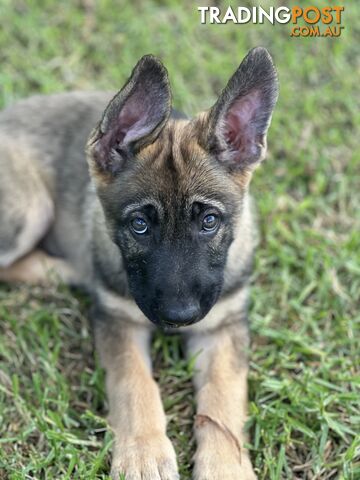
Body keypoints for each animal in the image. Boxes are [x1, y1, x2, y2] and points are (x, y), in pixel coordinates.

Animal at [0, 47, 278, 478]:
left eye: (209, 221)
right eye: (140, 225)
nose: (179, 317)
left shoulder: (224, 326)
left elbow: (223, 398)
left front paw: (225, 467)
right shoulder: (119, 320)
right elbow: (135, 385)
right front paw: (143, 454)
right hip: (29, 209)